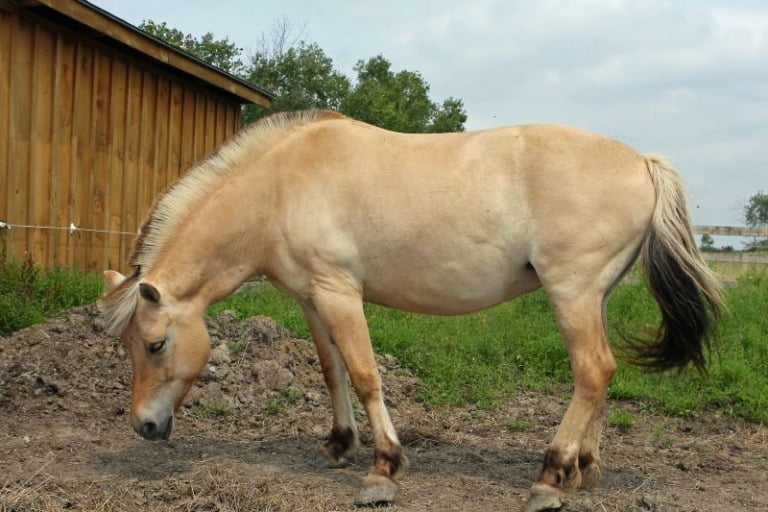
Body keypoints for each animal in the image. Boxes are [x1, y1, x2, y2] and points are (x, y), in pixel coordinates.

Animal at [99, 109, 724, 512]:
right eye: (129, 346)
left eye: (155, 344)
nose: (144, 426)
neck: (278, 189)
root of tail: (641, 161)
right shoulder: (311, 298)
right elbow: (332, 372)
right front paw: (339, 445)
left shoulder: (338, 292)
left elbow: (366, 374)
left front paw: (383, 469)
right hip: (595, 296)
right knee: (601, 375)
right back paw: (581, 471)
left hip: (571, 293)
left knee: (592, 371)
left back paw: (548, 479)